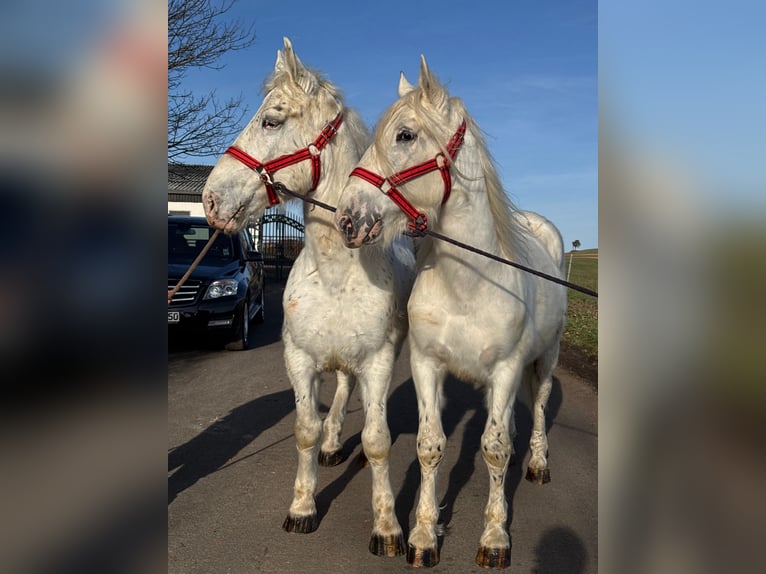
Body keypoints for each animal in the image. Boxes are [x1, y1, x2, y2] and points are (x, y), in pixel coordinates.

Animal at [202, 37, 415, 557]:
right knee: (339, 394)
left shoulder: (377, 361)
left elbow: (377, 440)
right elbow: (305, 431)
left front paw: (387, 528)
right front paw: (302, 508)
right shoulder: (299, 360)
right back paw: (333, 444)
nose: (211, 200)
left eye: (271, 121)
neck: (336, 273)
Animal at [334, 56, 568, 568]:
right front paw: (423, 536)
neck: (469, 284)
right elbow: (430, 446)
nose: (348, 218)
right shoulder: (427, 365)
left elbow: (495, 451)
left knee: (538, 407)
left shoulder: (506, 370)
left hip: (546, 360)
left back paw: (539, 461)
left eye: (405, 135)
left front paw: (495, 538)